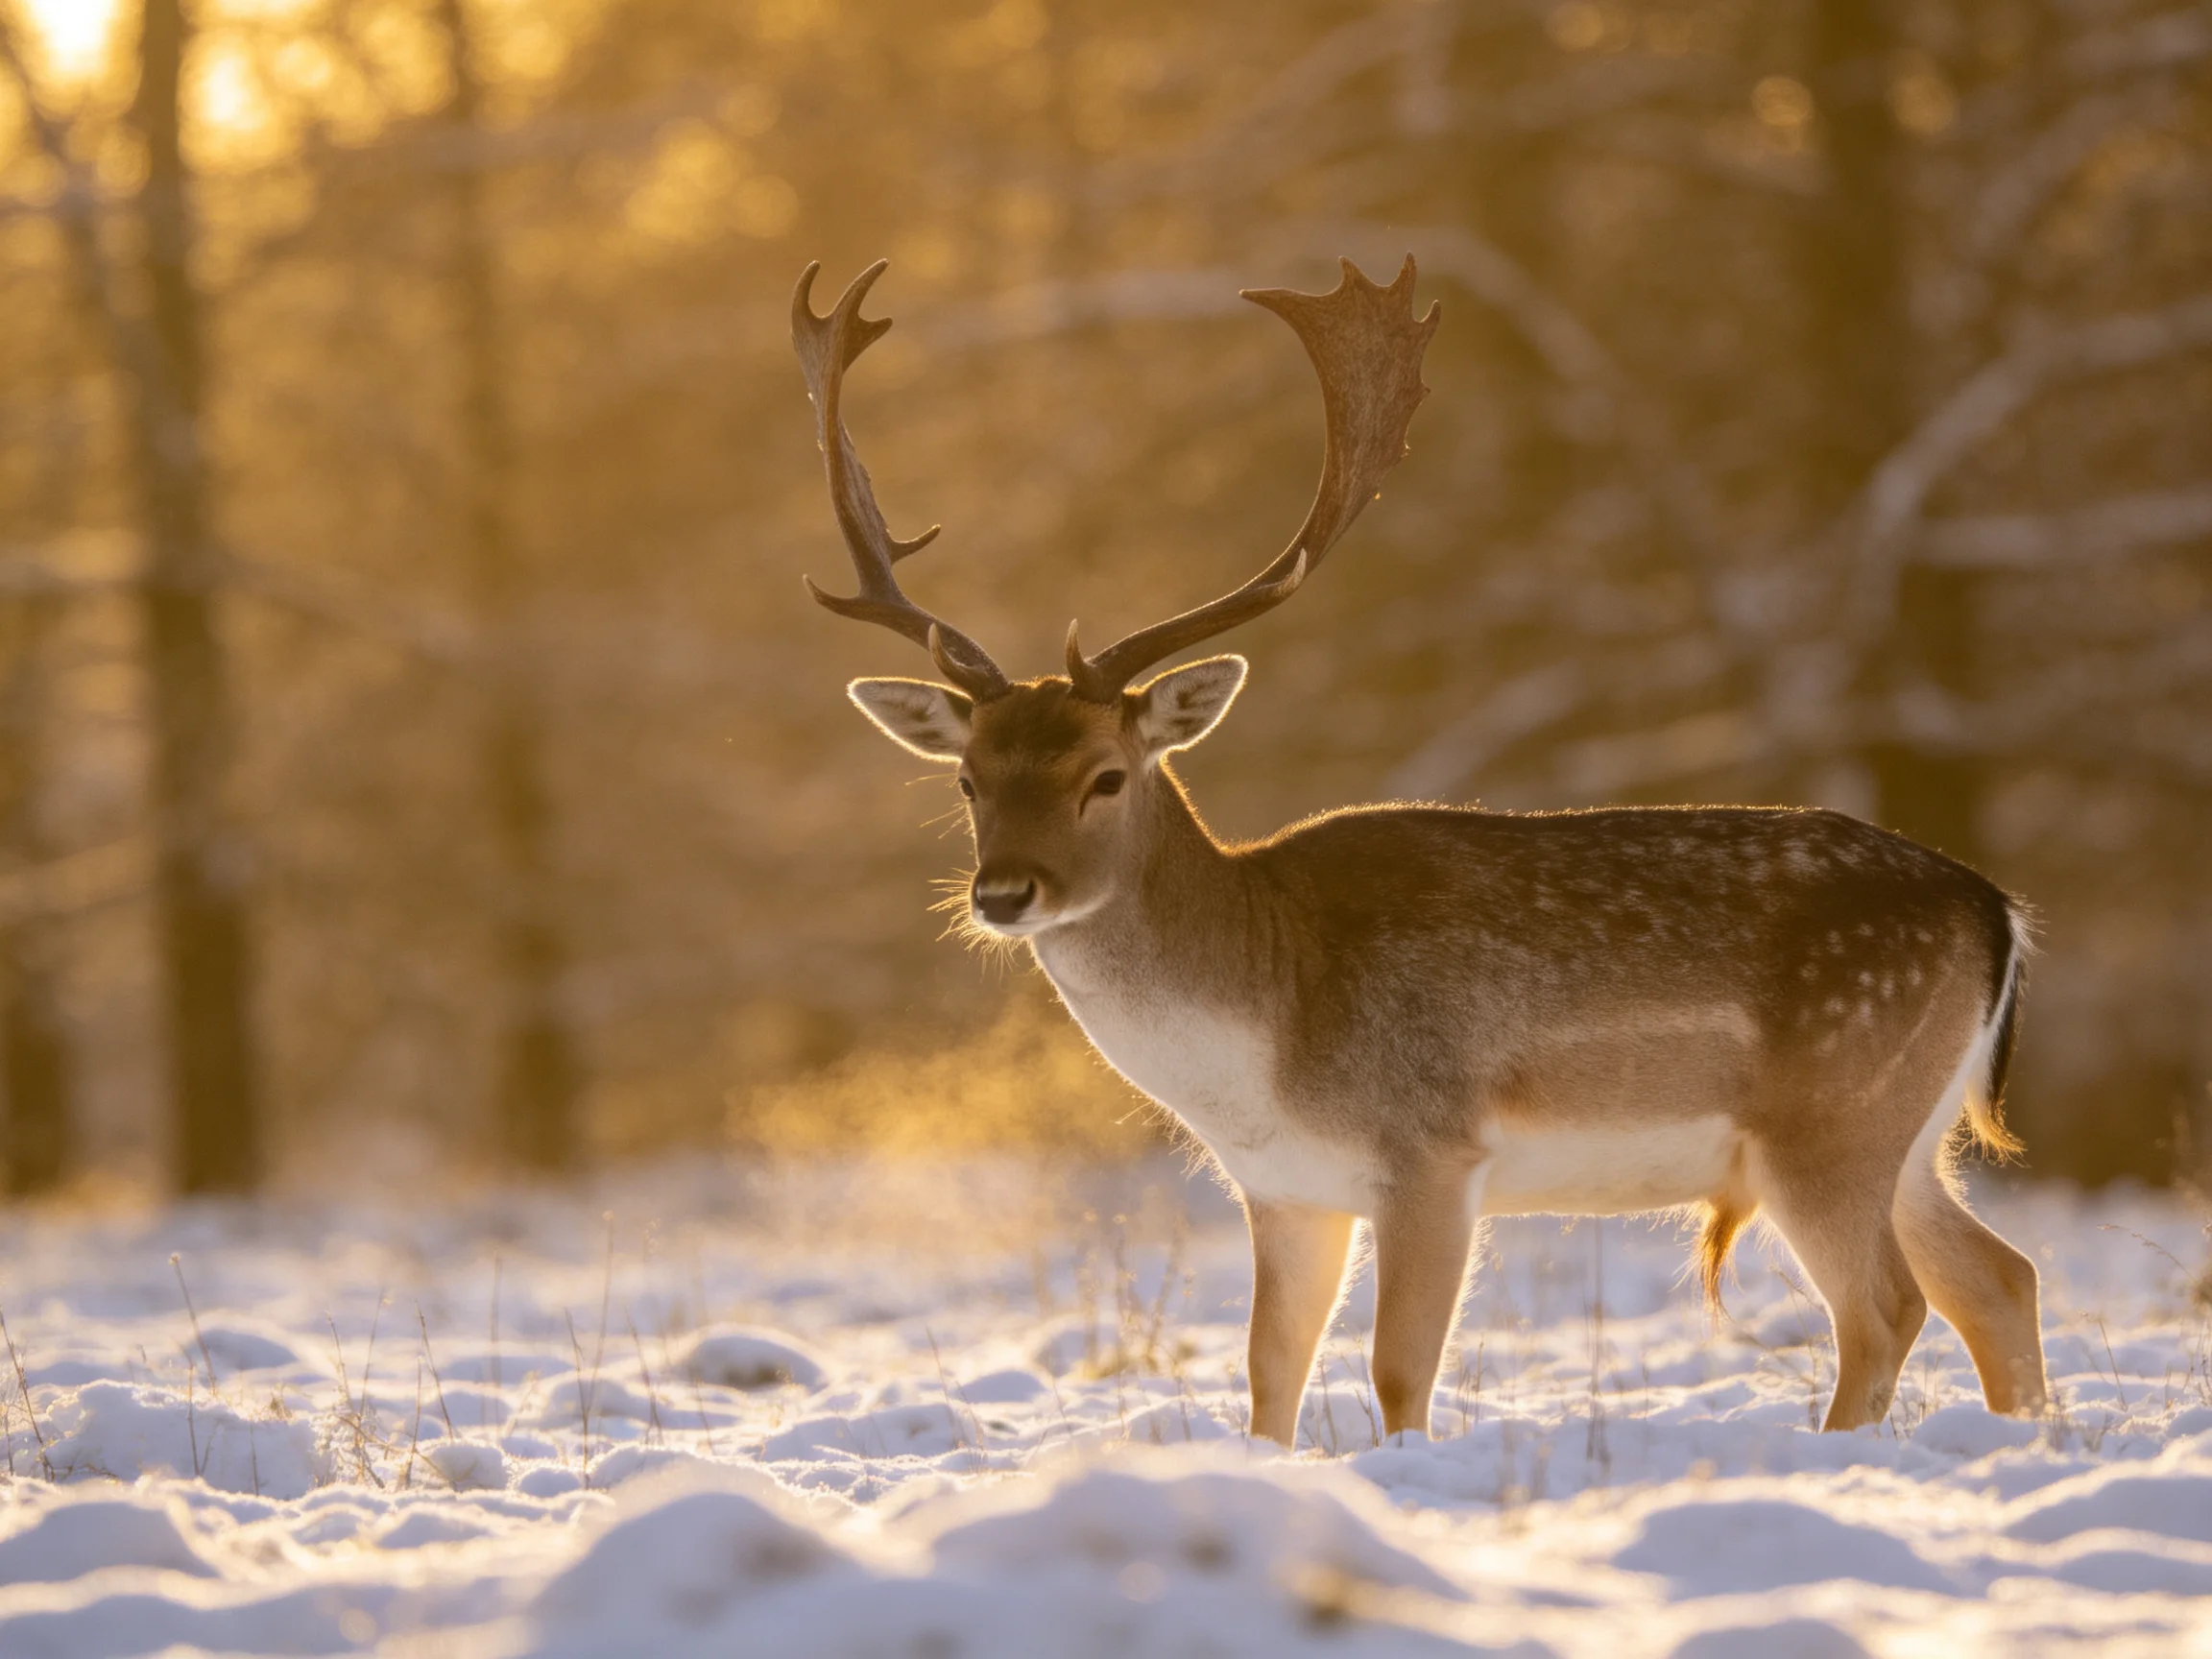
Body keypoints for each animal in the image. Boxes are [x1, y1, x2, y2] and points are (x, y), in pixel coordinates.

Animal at [789, 253, 2049, 1445]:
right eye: (967, 779)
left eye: (1106, 774)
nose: (1003, 892)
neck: (1264, 1037)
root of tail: (1998, 911)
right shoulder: (1287, 1190)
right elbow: (1269, 1376)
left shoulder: (1433, 1147)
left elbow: (1399, 1373)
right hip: (1909, 1132)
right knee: (2003, 1277)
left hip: (1830, 1113)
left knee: (1887, 1308)